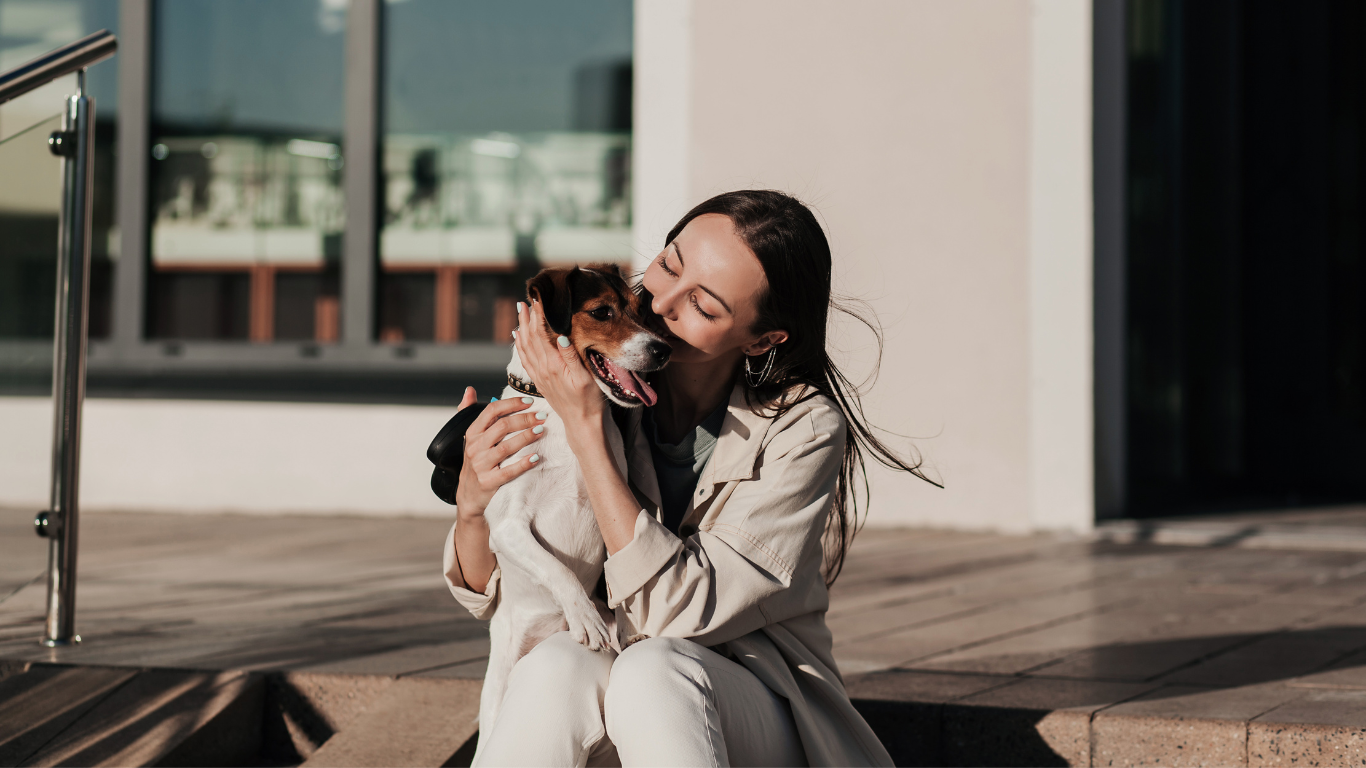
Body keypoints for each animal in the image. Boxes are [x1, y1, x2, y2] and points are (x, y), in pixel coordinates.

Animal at [480, 262, 672, 743]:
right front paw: (584, 615)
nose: (663, 351)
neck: (558, 413)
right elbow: (557, 568)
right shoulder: (507, 527)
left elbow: (619, 577)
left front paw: (620, 625)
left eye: (639, 309)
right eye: (601, 312)